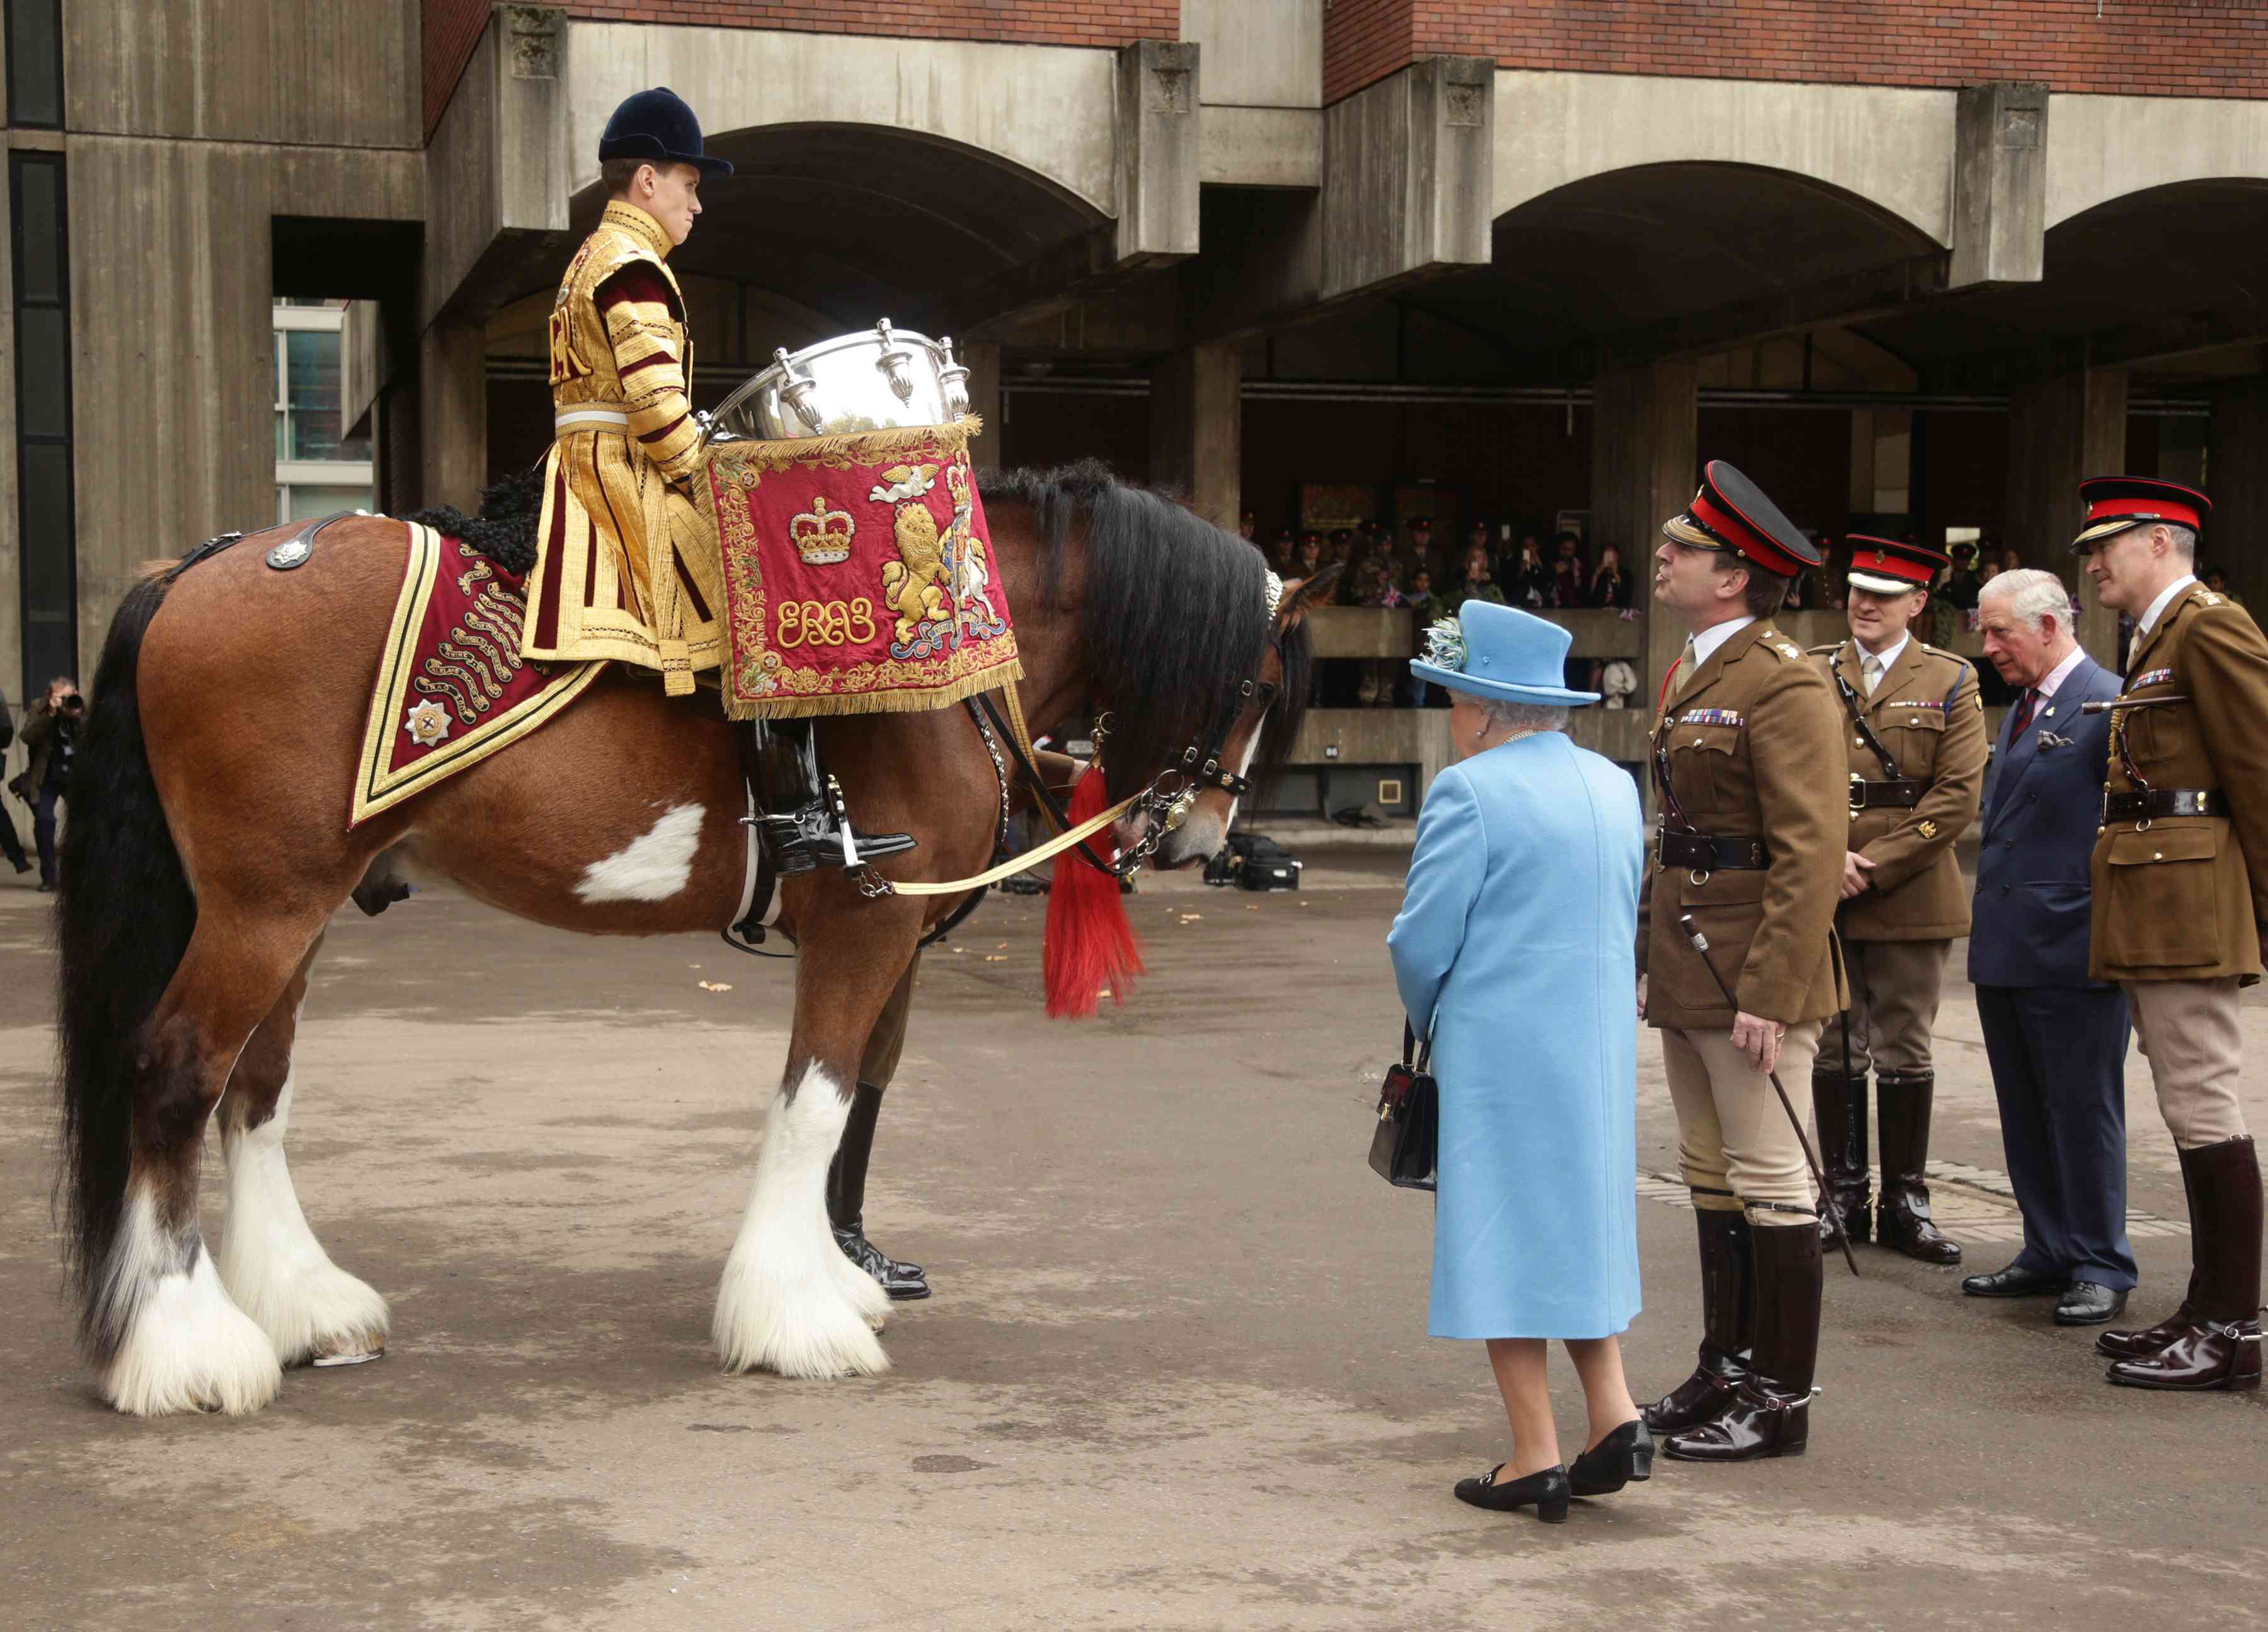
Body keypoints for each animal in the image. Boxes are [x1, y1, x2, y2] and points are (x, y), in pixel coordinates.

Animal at [57, 458, 1324, 1416]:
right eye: (1261, 690)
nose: (1201, 836)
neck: (933, 670)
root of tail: (196, 567)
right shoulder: (864, 927)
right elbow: (816, 1100)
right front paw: (796, 1315)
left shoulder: (889, 935)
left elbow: (855, 1094)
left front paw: (836, 1275)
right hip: (264, 909)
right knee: (178, 1072)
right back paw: (184, 1344)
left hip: (290, 908)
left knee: (253, 1090)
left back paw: (300, 1305)